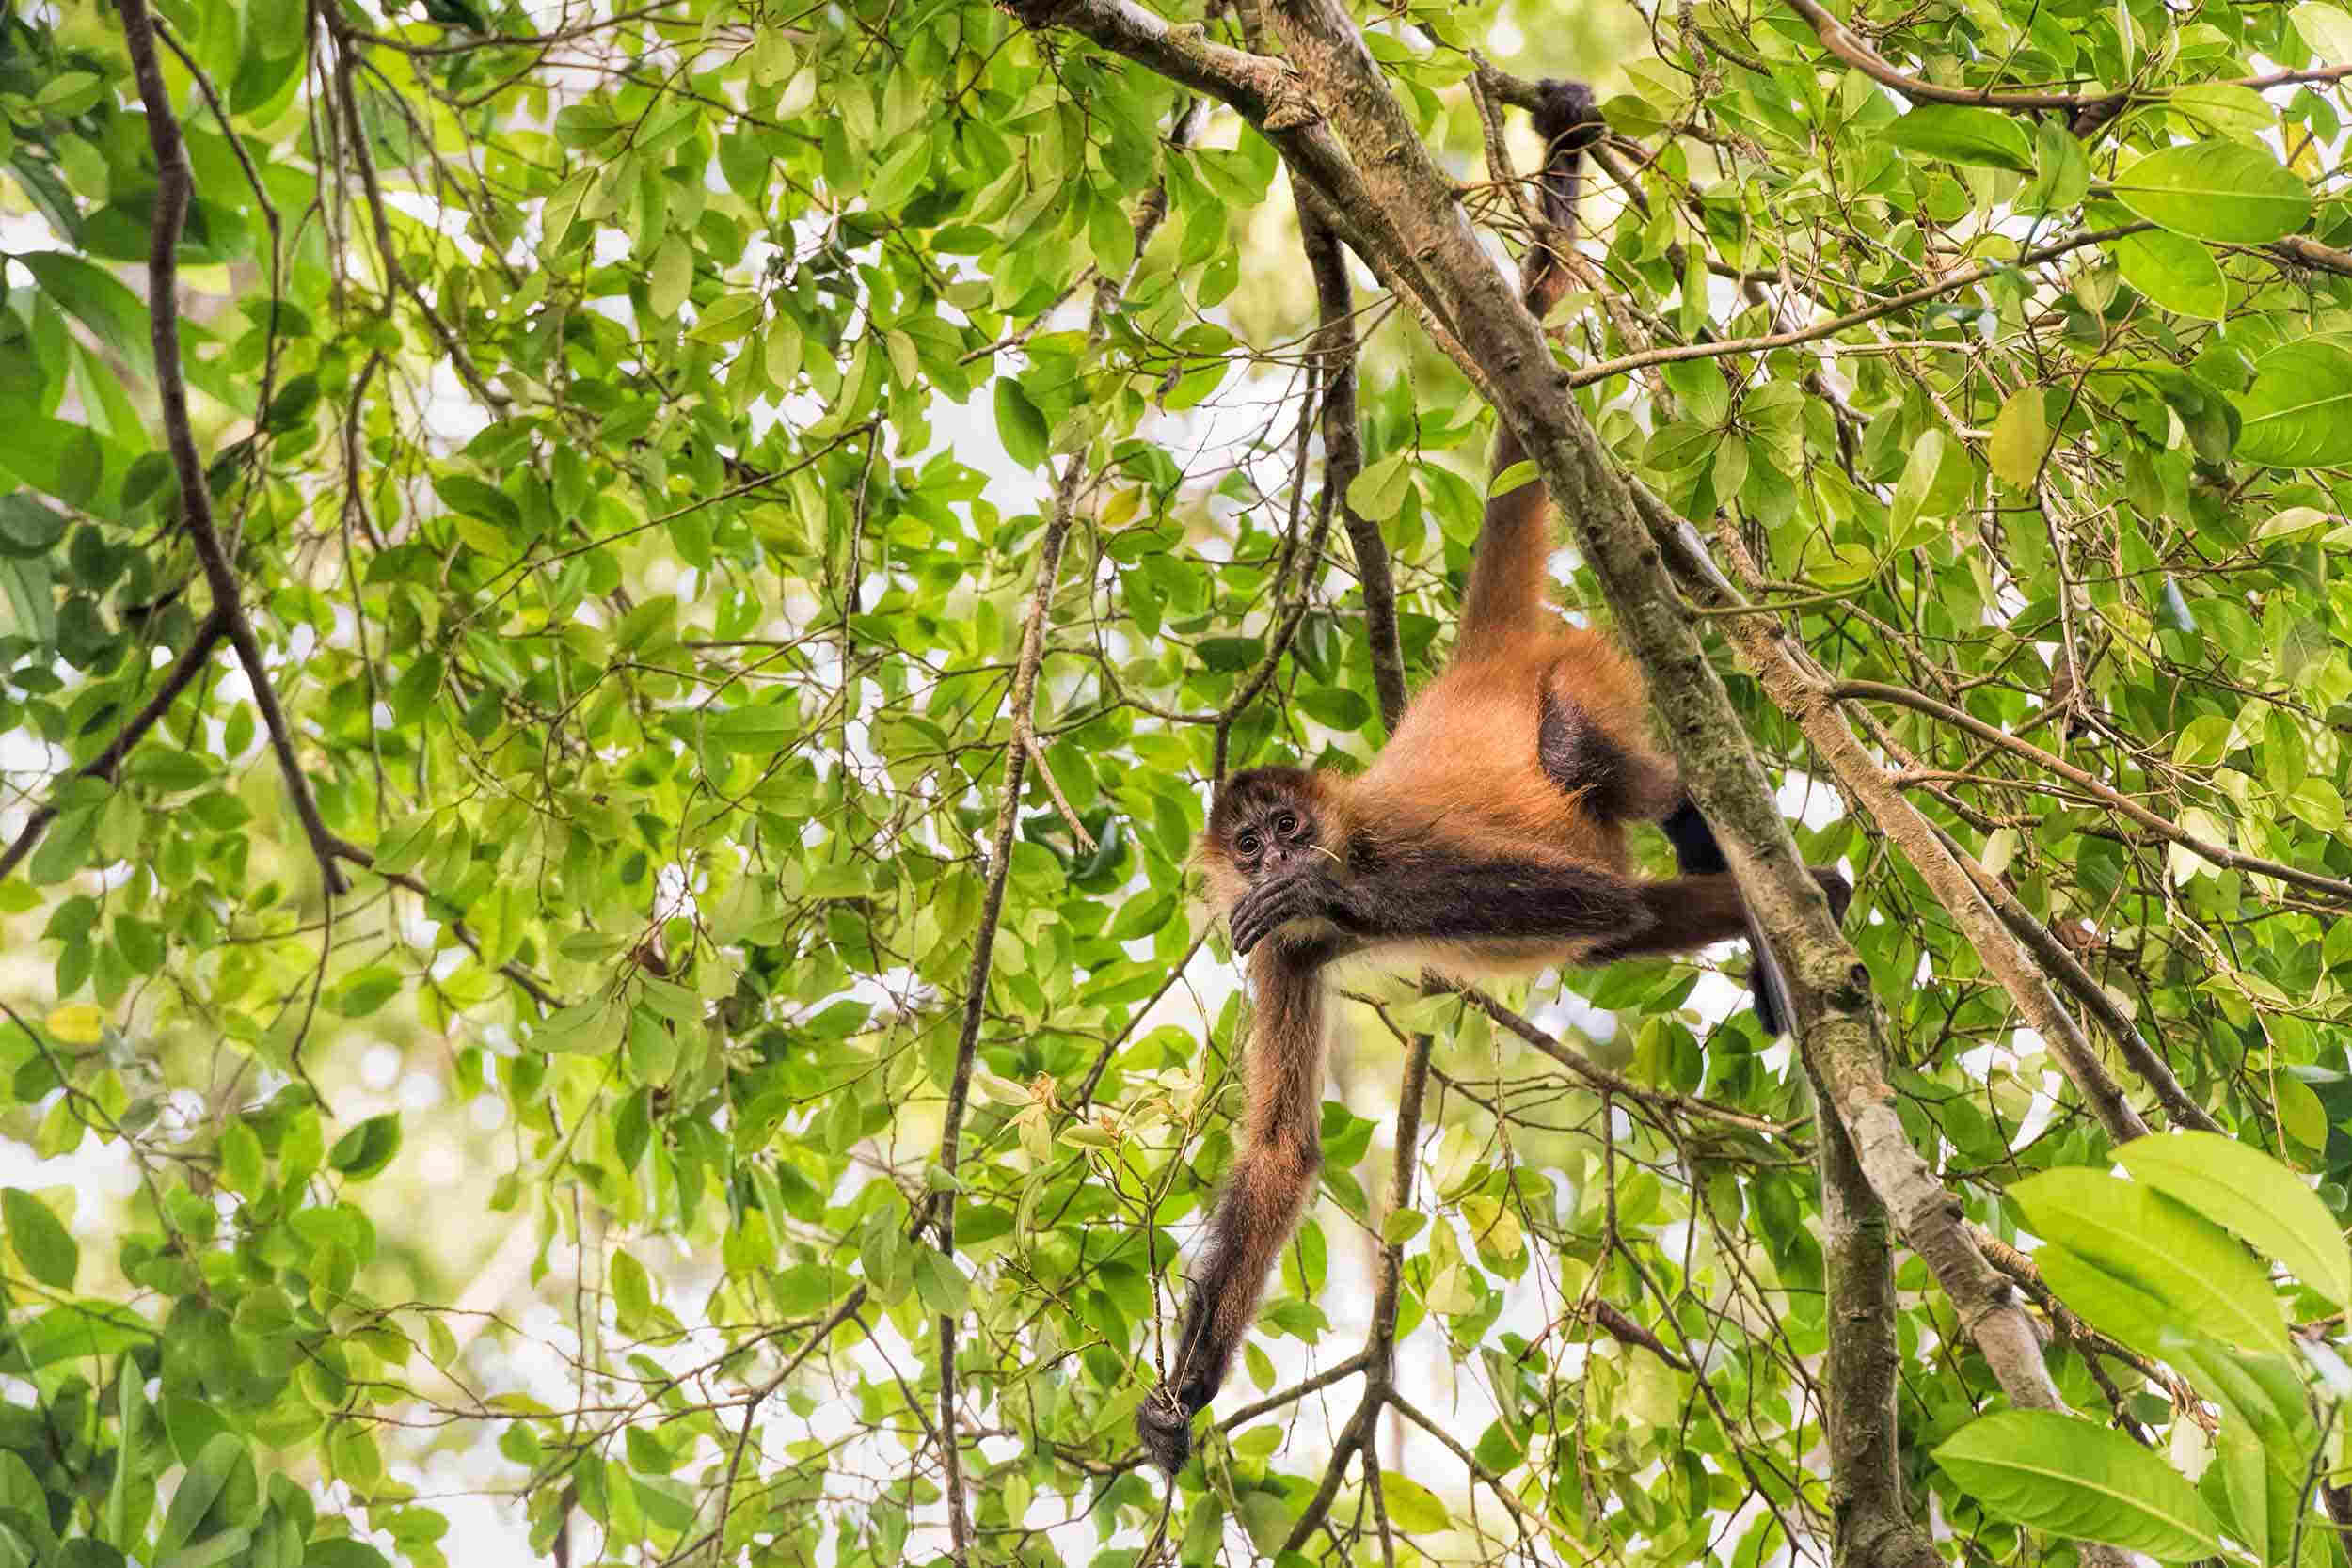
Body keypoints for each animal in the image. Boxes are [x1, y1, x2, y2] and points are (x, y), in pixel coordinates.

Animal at [1129, 76, 1844, 1476]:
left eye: (1286, 833)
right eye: (1249, 842)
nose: (1282, 862)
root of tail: (1481, 660)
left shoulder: (1378, 854)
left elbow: (1557, 898)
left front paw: (1336, 898)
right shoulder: (1273, 958)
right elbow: (1282, 1149)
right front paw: (1178, 1396)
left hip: (1581, 681)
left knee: (1619, 825)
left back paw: (1764, 864)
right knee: (1624, 926)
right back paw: (1807, 903)